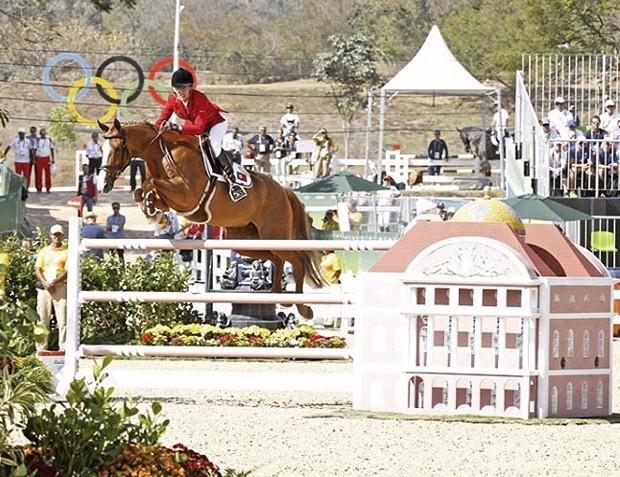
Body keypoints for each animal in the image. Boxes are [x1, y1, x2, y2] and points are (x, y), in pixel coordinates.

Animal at [98, 118, 324, 320]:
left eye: (116, 148)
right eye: (101, 149)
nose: (103, 185)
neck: (161, 154)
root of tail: (285, 191)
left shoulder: (187, 196)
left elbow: (151, 183)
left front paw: (155, 212)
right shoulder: (172, 199)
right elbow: (142, 191)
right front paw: (154, 212)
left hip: (274, 234)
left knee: (296, 260)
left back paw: (303, 307)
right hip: (245, 241)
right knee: (277, 259)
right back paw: (280, 298)